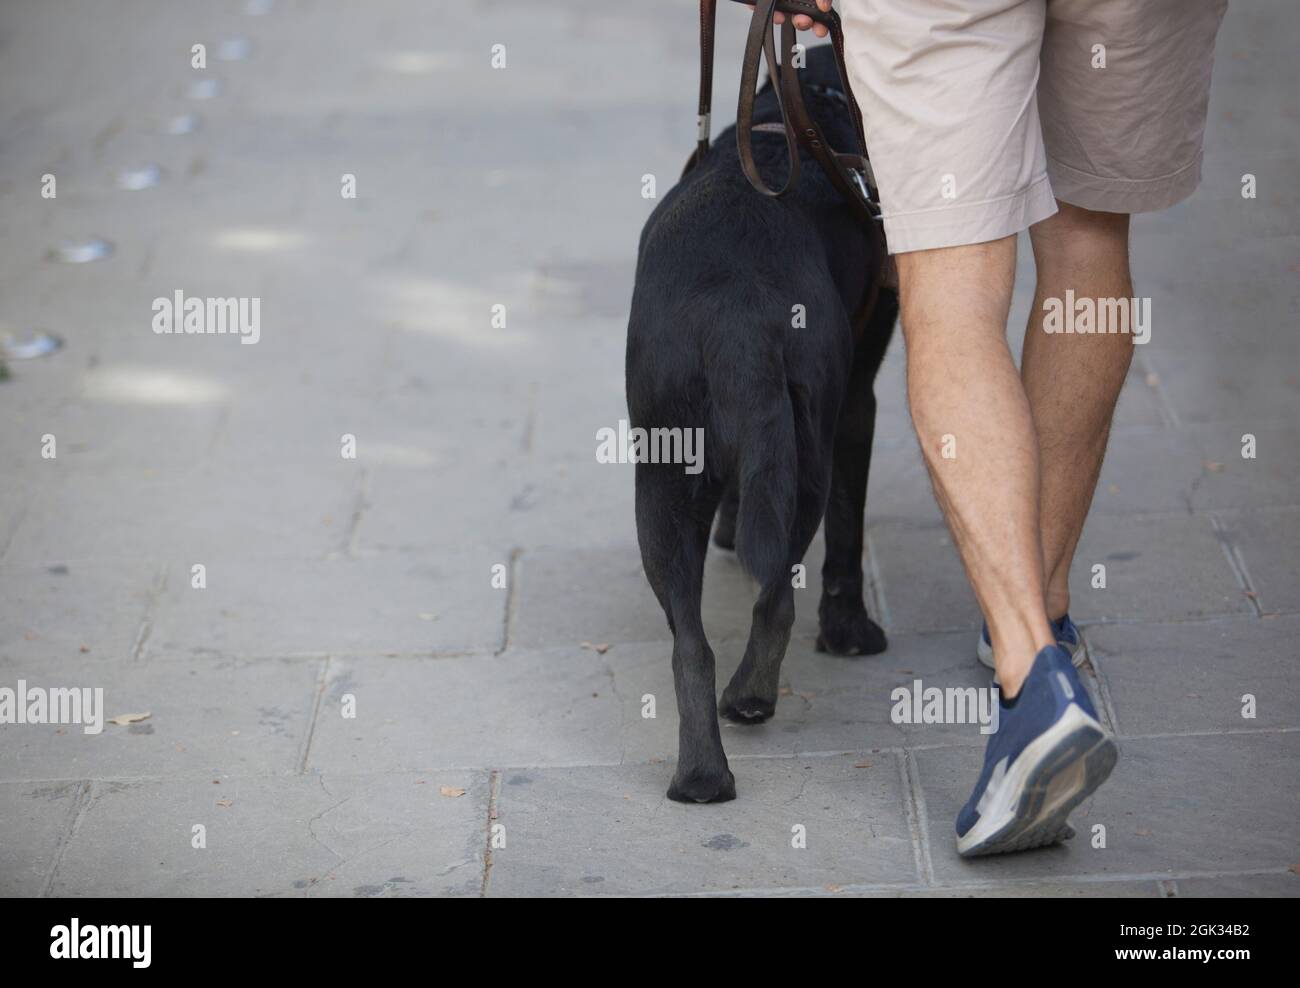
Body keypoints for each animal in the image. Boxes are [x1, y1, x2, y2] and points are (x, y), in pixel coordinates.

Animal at [626, 46, 894, 800]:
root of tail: (738, 314)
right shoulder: (855, 403)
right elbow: (845, 534)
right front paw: (849, 628)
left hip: (660, 486)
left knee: (691, 642)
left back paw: (702, 774)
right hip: (803, 456)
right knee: (775, 598)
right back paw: (747, 705)